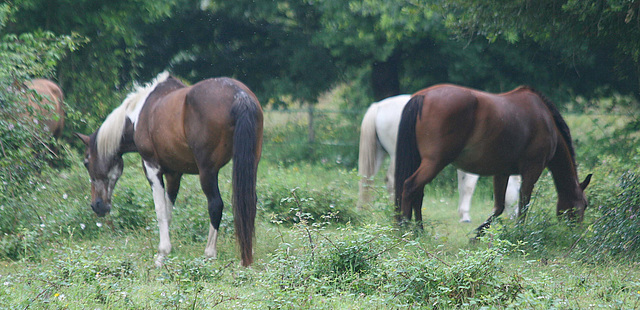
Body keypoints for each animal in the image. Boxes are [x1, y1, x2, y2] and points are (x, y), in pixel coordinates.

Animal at [75, 72, 262, 266]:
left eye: (86, 162)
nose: (97, 206)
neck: (139, 115)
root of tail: (240, 95)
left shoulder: (151, 167)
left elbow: (160, 209)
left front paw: (161, 253)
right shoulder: (174, 174)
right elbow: (168, 209)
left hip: (207, 172)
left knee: (215, 204)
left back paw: (209, 253)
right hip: (250, 163)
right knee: (249, 202)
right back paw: (248, 251)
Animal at [358, 94, 524, 220]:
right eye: (517, 190)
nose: (516, 215)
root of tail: (378, 106)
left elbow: (462, 185)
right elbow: (469, 186)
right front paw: (465, 216)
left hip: (379, 154)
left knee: (367, 179)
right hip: (397, 155)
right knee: (393, 180)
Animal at [392, 83, 592, 234]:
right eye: (584, 204)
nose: (577, 233)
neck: (546, 122)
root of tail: (423, 96)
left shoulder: (502, 172)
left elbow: (499, 207)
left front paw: (477, 235)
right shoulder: (532, 170)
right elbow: (523, 204)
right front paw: (519, 233)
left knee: (417, 192)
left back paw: (419, 231)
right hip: (434, 163)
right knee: (410, 187)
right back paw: (404, 229)